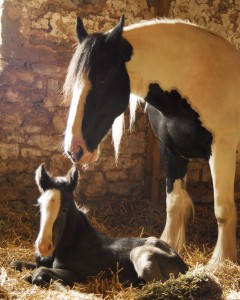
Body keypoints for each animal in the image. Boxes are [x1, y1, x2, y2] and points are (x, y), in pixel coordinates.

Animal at [11, 165, 188, 288]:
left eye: (66, 207)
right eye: (40, 205)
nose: (43, 247)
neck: (75, 243)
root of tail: (183, 264)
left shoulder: (87, 274)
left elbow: (39, 272)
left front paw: (49, 280)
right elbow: (17, 263)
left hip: (139, 253)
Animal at [63, 15, 240, 268]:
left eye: (103, 79)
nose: (74, 149)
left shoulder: (221, 149)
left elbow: (223, 209)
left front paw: (221, 261)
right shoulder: (171, 151)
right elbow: (174, 203)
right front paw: (170, 245)